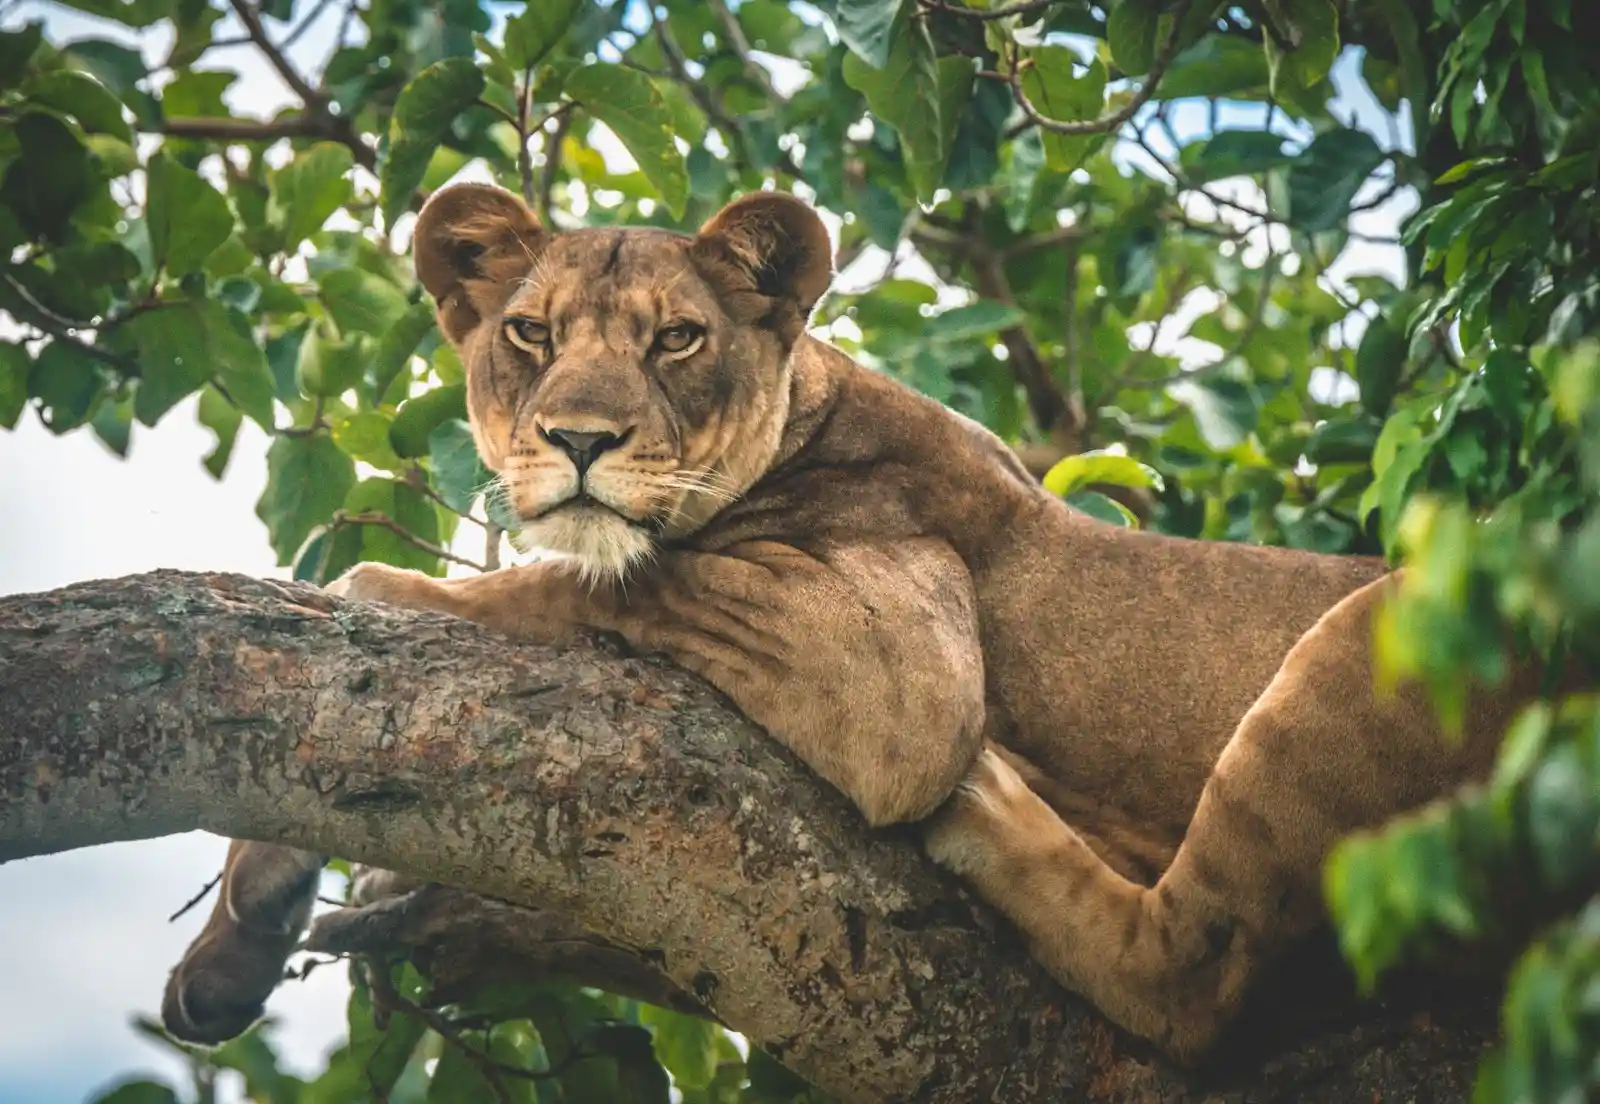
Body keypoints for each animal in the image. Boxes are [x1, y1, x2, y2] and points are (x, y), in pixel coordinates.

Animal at [161, 182, 1586, 1065]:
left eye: (676, 340)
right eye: (528, 331)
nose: (577, 441)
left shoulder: (901, 668)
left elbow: (559, 584)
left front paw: (393, 597)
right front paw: (238, 946)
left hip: (1390, 622)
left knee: (1191, 982)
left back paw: (995, 812)